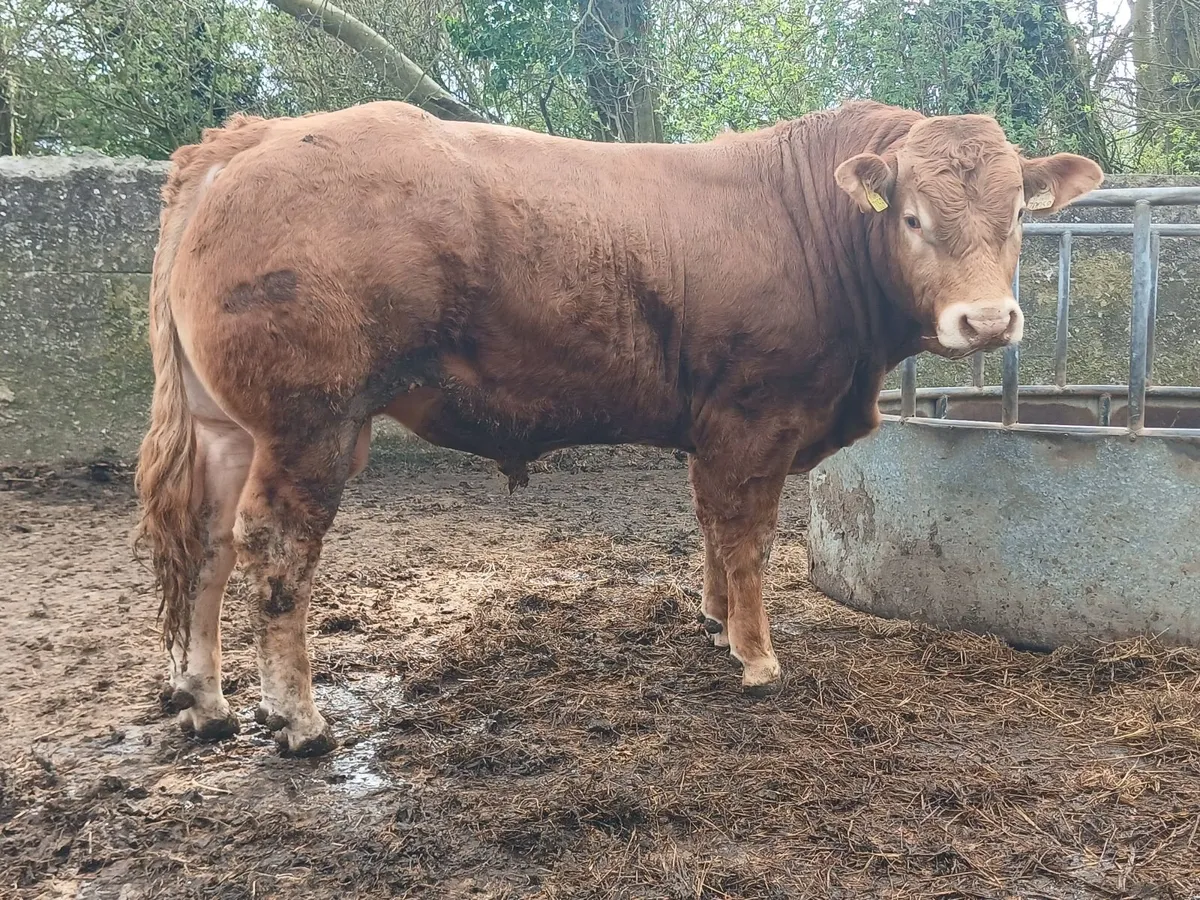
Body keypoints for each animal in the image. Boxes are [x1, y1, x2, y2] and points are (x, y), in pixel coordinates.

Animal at [134, 99, 1102, 757]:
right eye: (910, 215)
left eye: (1020, 214)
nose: (988, 321)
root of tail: (251, 138)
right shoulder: (755, 416)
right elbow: (748, 536)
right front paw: (757, 657)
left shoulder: (712, 428)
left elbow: (712, 527)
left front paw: (716, 622)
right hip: (312, 424)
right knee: (274, 551)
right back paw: (297, 719)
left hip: (227, 429)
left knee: (206, 543)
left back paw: (205, 699)